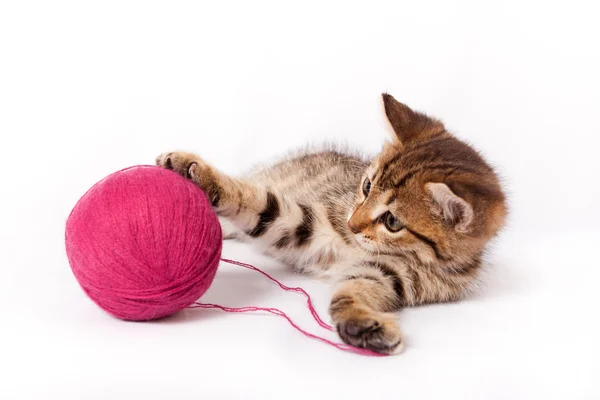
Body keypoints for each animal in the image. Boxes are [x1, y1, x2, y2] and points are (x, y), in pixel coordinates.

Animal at [156, 94, 506, 356]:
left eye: (392, 221)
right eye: (366, 186)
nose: (351, 224)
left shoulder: (385, 276)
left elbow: (348, 294)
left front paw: (363, 326)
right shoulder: (302, 223)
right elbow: (259, 202)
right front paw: (194, 170)